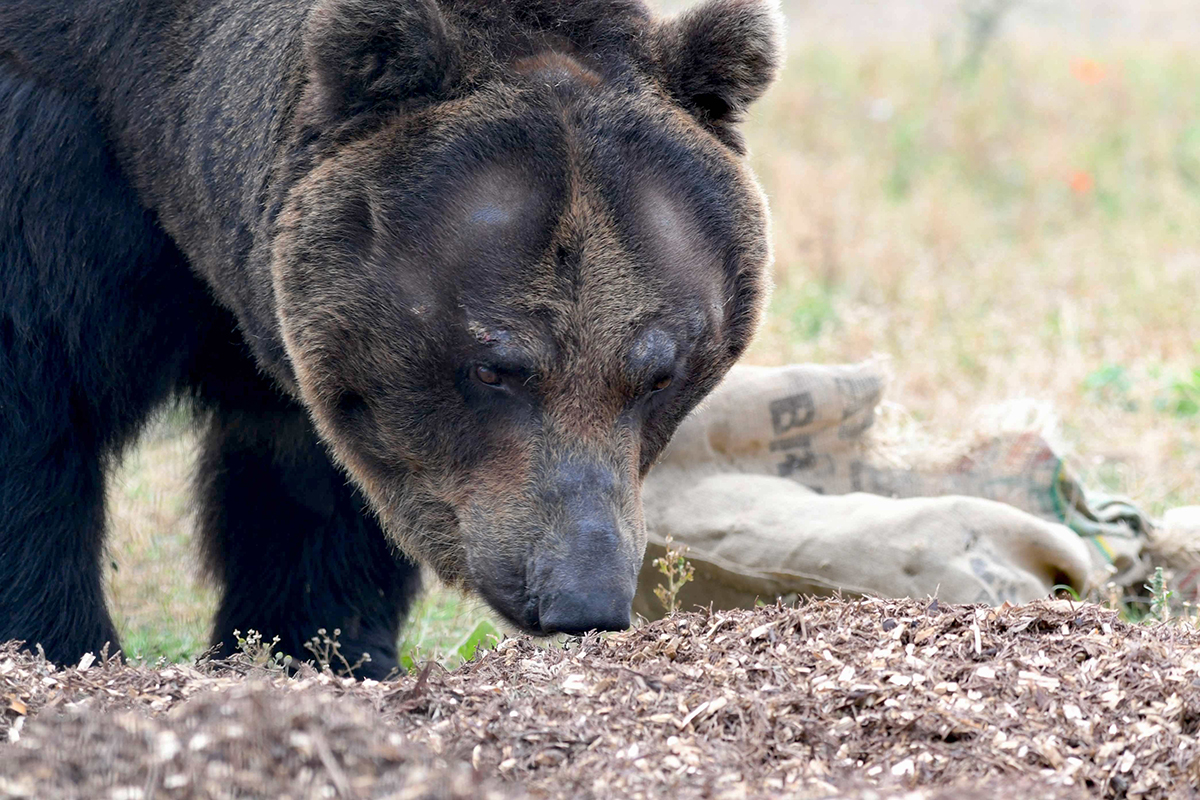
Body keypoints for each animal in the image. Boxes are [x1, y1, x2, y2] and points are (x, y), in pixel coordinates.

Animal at [0, 0, 782, 681]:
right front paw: (58, 642)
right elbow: (36, 417)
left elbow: (314, 480)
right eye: (495, 366)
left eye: (659, 372)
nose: (583, 598)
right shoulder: (58, 169)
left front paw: (317, 645)